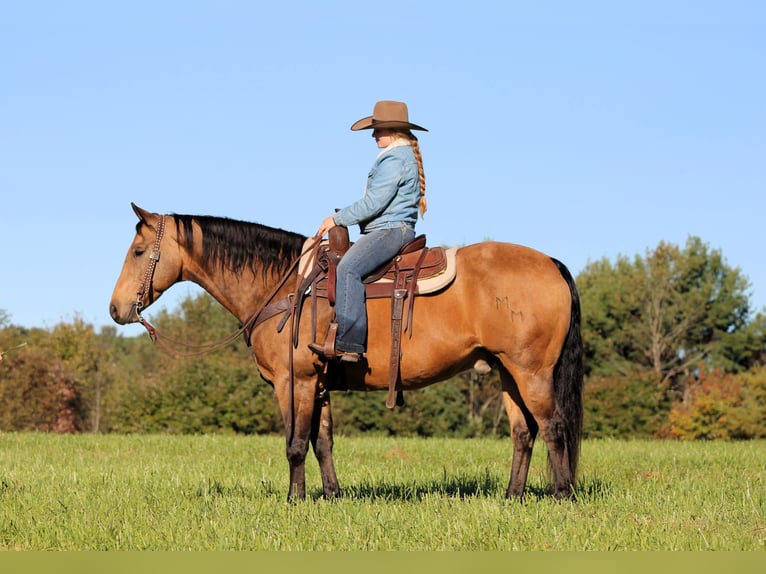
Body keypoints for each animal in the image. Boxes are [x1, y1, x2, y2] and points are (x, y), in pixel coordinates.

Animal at [109, 203, 583, 501]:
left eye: (138, 251)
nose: (116, 310)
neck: (285, 286)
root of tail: (552, 263)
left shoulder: (294, 381)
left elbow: (295, 443)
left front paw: (294, 500)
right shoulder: (318, 384)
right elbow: (323, 441)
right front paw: (331, 495)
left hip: (532, 372)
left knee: (554, 428)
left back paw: (562, 496)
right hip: (507, 372)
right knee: (523, 433)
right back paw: (512, 497)